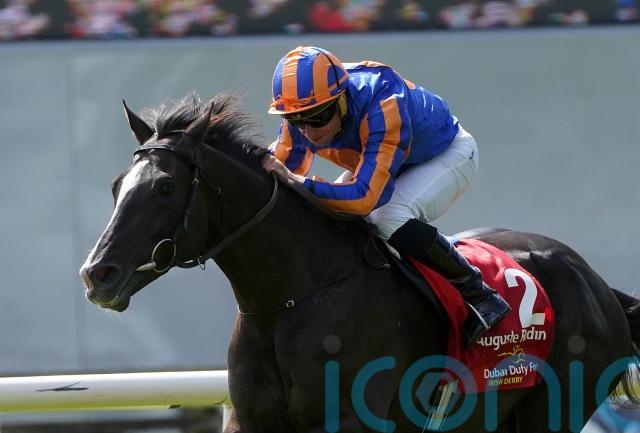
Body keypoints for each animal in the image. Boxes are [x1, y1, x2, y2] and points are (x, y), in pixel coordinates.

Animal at [79, 92, 640, 433]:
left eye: (165, 187)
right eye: (116, 186)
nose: (97, 274)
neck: (290, 298)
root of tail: (597, 284)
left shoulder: (350, 418)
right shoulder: (249, 419)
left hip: (556, 407)